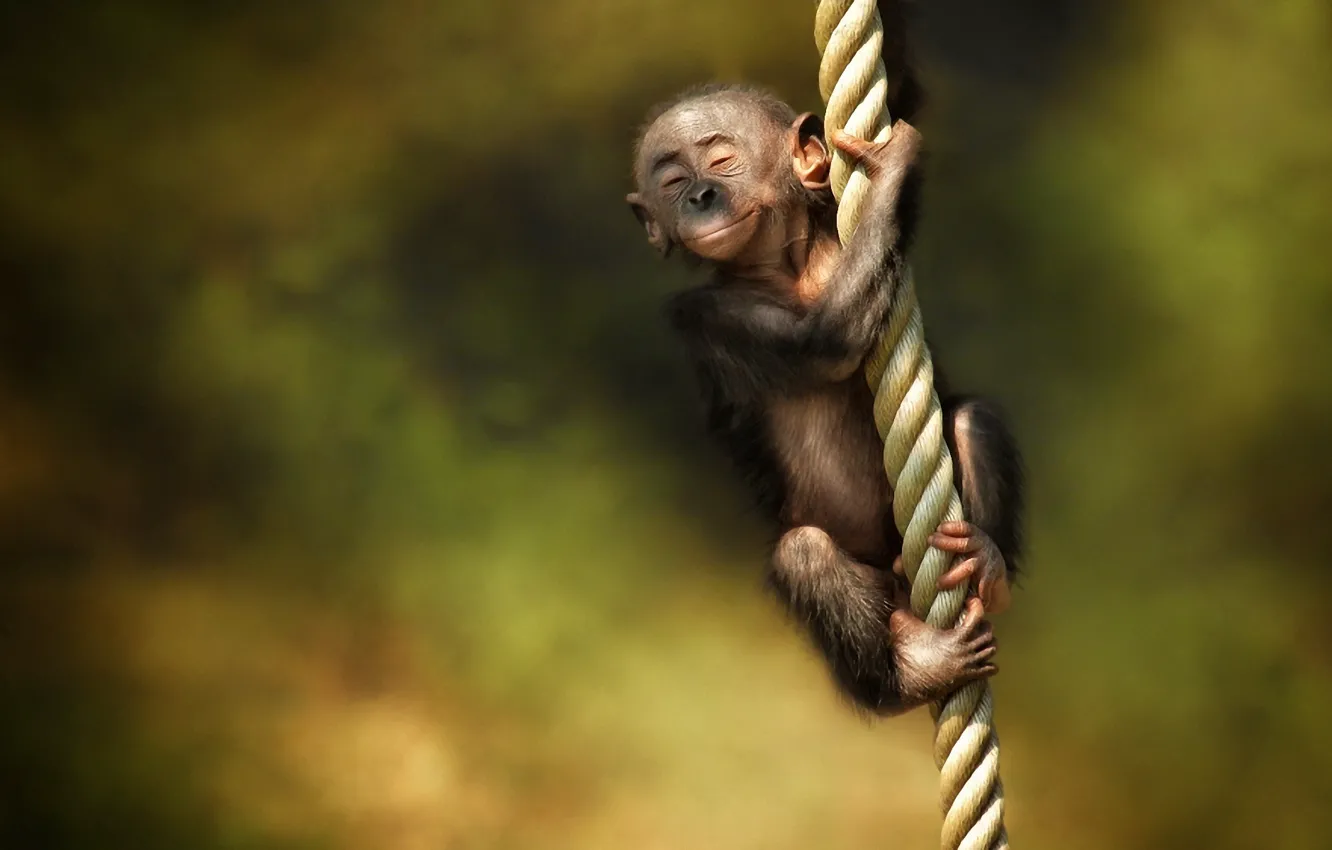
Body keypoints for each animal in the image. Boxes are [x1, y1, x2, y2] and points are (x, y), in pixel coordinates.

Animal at [626, 84, 1024, 716]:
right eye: (672, 181)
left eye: (721, 160)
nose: (700, 195)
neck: (787, 268)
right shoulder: (705, 315)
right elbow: (825, 341)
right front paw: (888, 171)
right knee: (805, 555)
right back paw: (916, 671)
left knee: (971, 419)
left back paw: (987, 563)